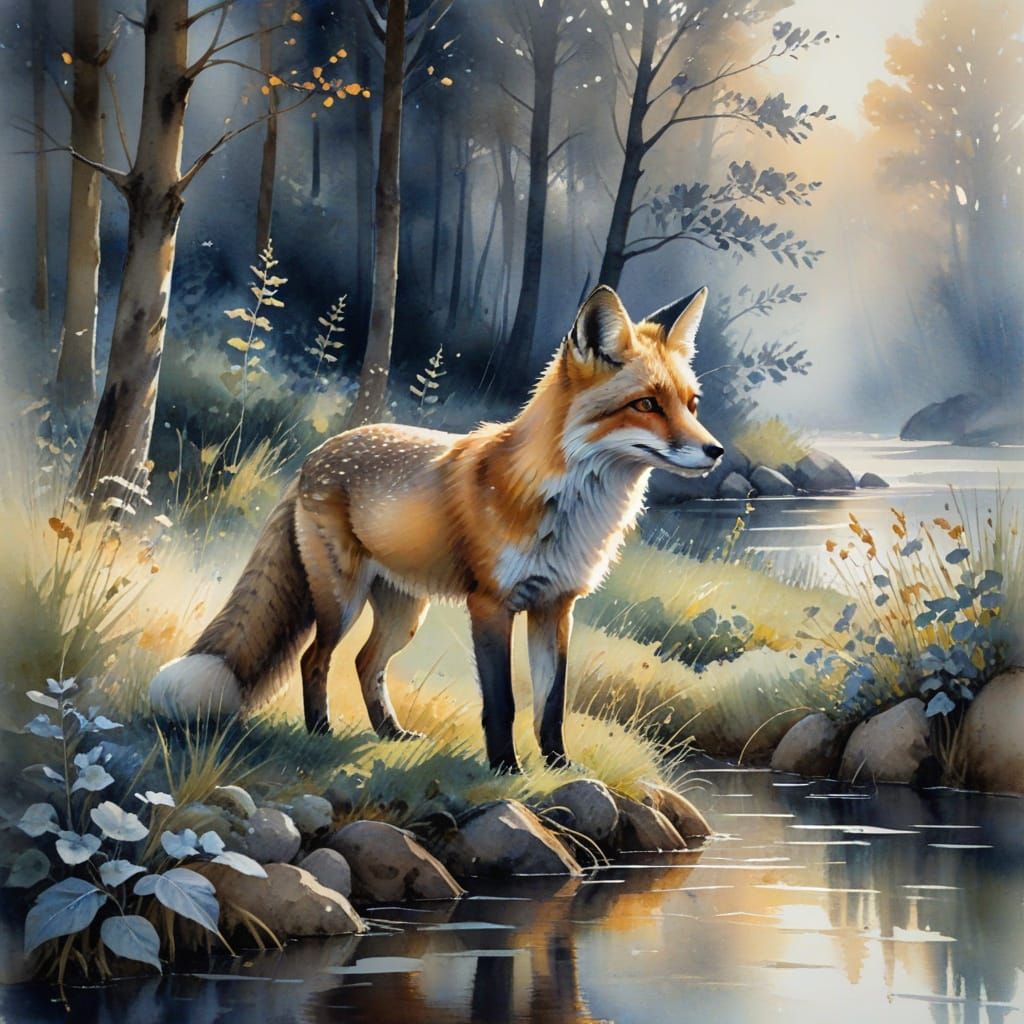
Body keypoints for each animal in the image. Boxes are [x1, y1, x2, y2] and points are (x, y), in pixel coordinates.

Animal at [150, 284, 723, 772]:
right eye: (646, 404)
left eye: (691, 404)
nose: (715, 451)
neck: (567, 509)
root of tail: (317, 454)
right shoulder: (490, 604)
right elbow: (503, 702)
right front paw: (505, 769)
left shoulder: (556, 605)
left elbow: (552, 702)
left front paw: (558, 767)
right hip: (341, 599)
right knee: (316, 658)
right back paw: (321, 732)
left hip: (405, 611)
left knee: (364, 663)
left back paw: (390, 733)